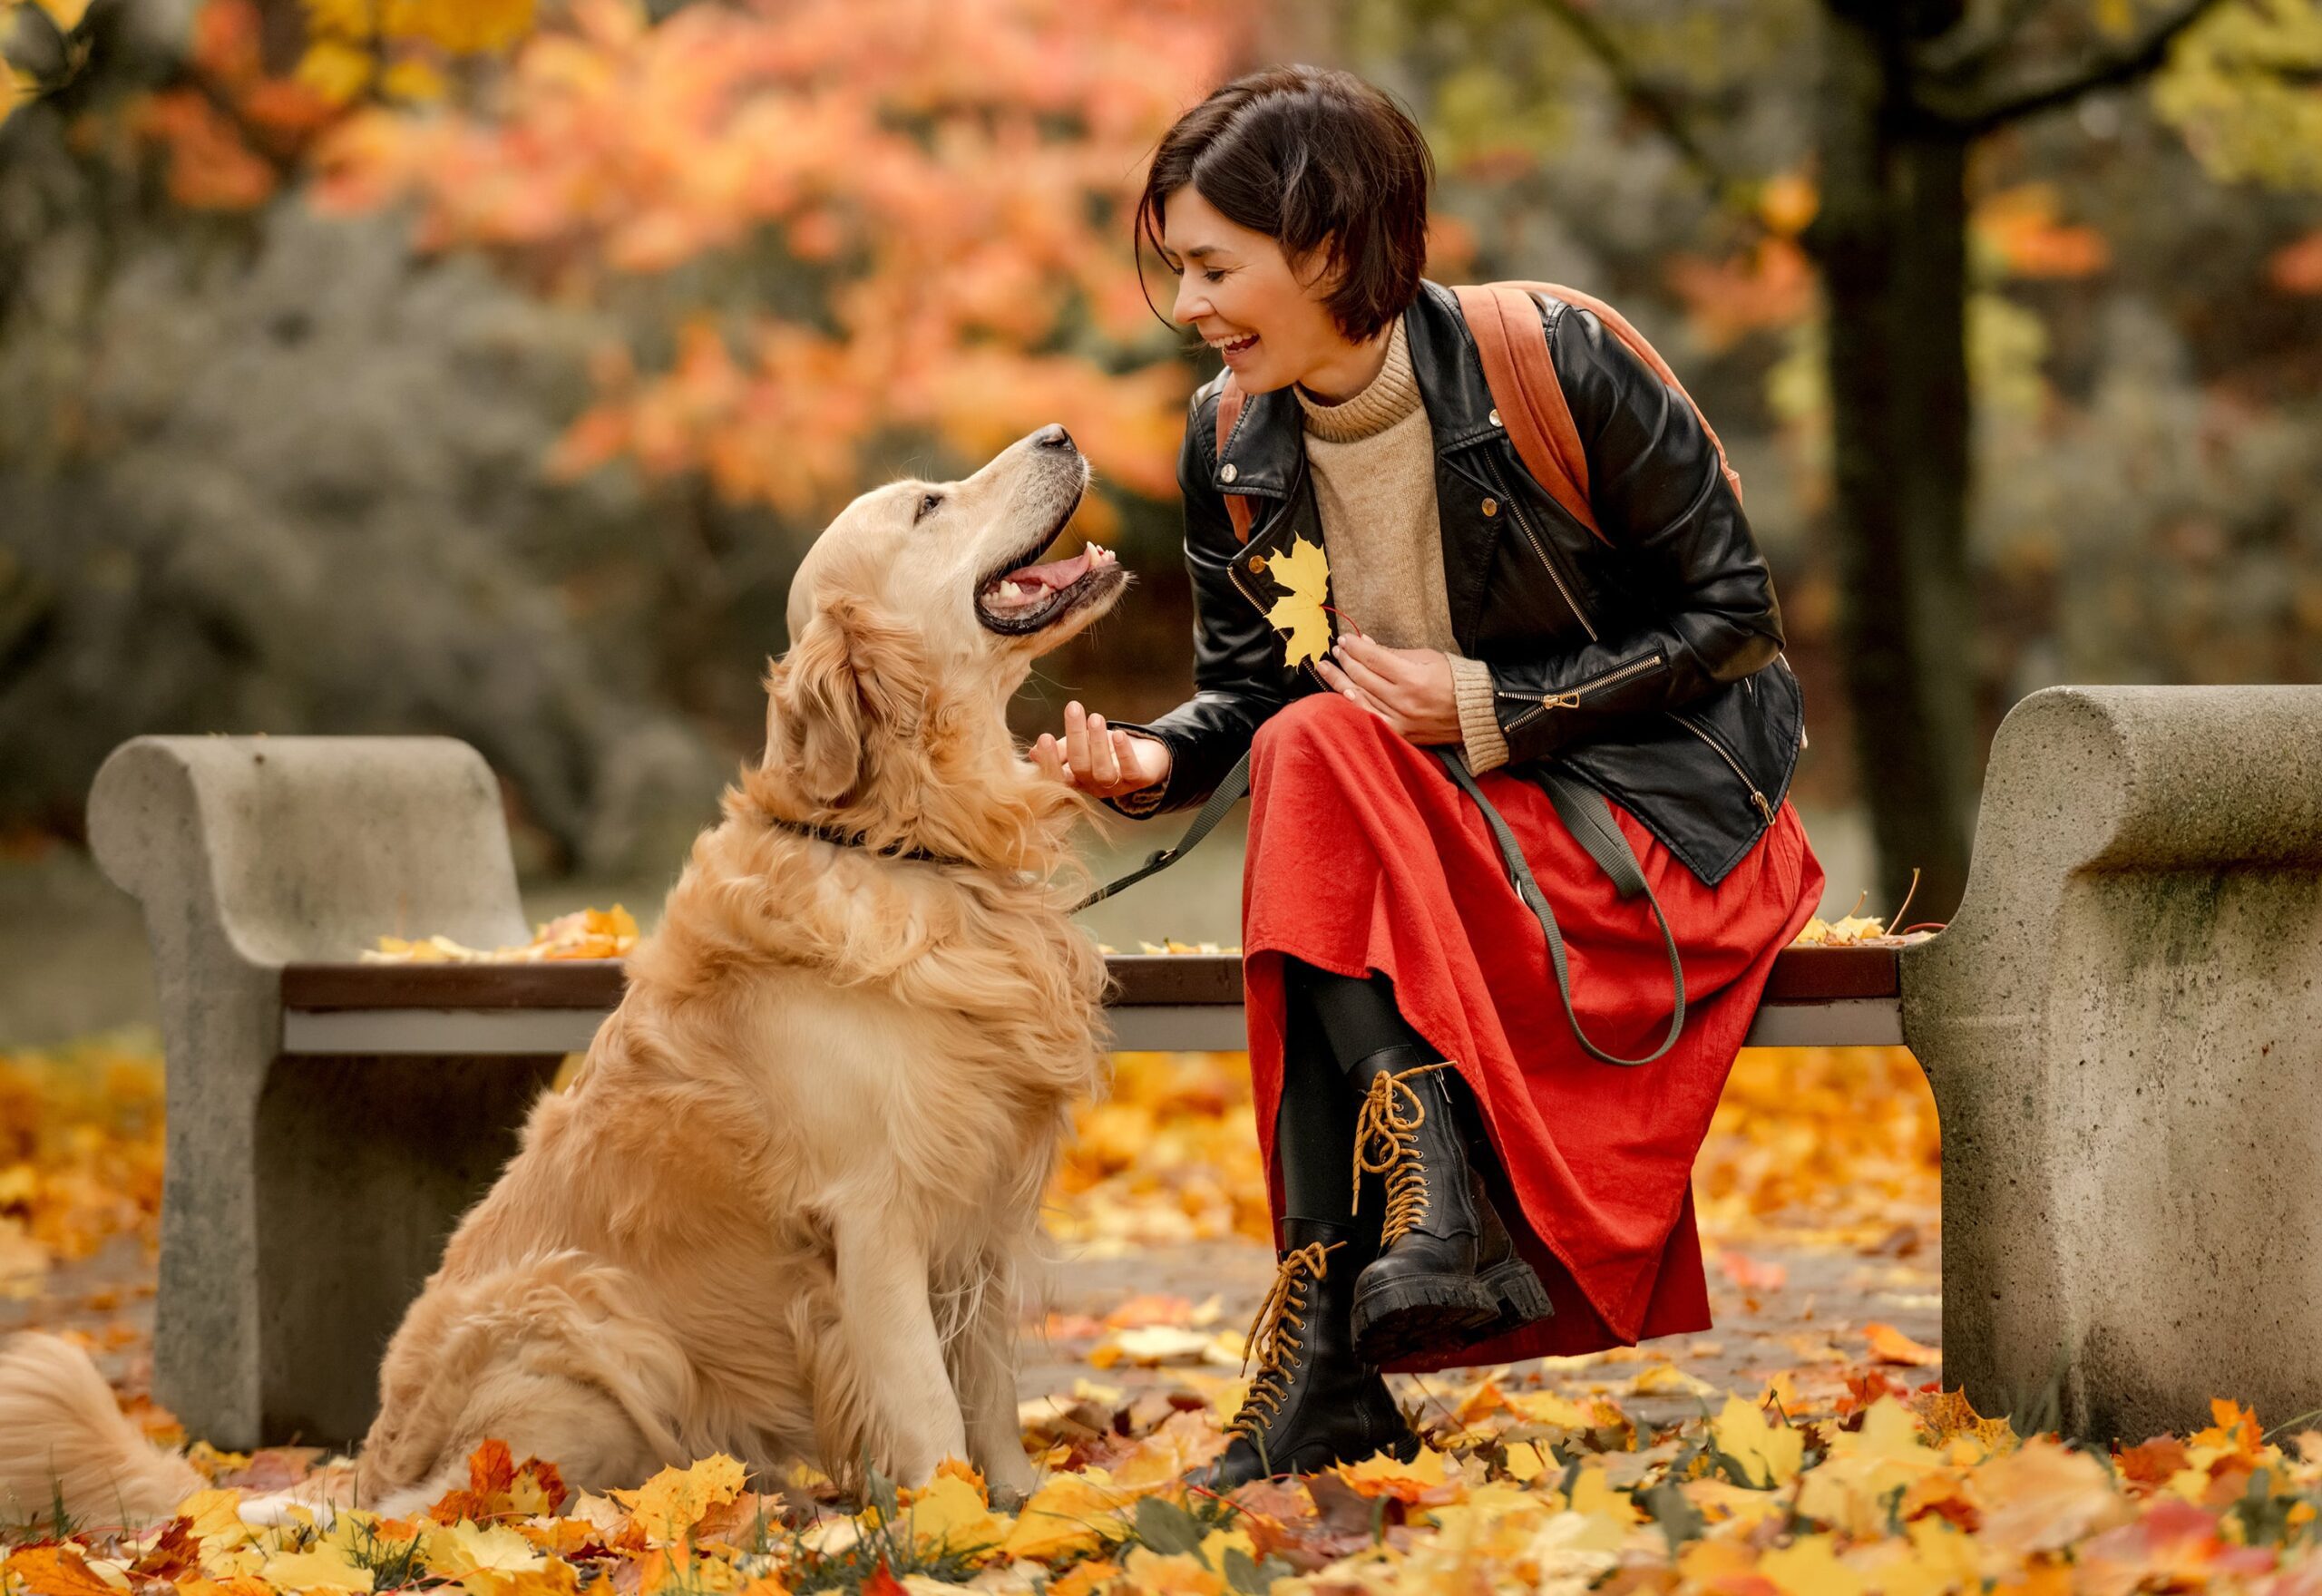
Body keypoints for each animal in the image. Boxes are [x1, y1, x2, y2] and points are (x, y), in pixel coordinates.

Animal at [0, 420, 1124, 1522]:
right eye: (929, 504)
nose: (1064, 431)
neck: (908, 839)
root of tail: (359, 1468)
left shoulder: (975, 1195)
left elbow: (989, 1392)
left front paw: (1030, 1506)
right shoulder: (874, 1213)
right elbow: (930, 1409)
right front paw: (958, 1528)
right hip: (591, 1311)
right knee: (462, 1501)